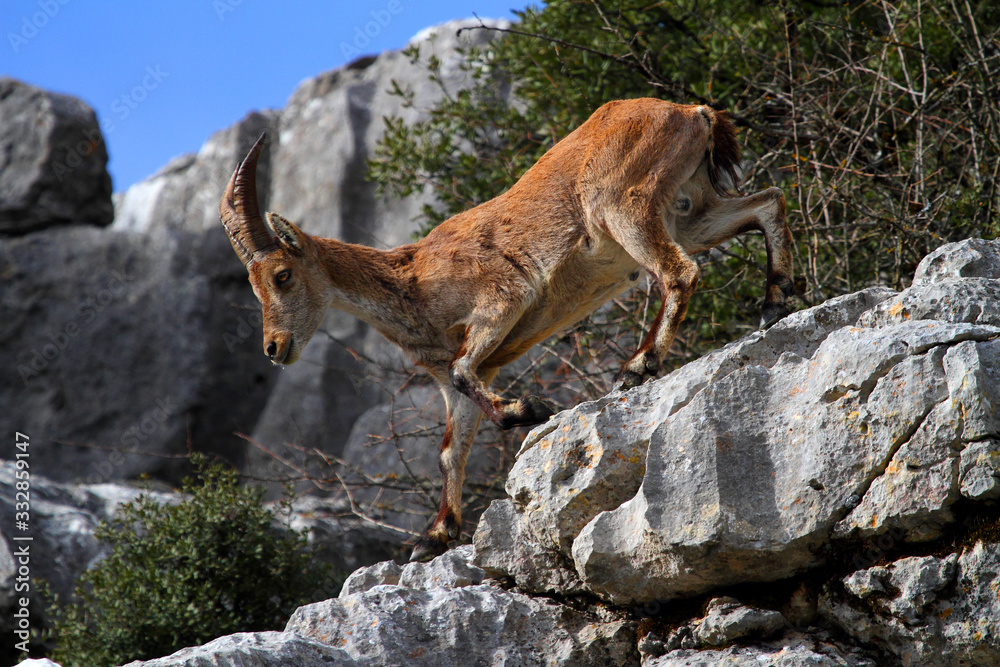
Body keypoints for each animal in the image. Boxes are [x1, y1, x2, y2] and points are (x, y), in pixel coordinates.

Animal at [219, 98, 794, 562]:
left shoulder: (502, 298)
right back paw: (774, 300)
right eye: (252, 286)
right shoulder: (461, 375)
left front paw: (528, 410)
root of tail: (692, 112)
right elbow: (451, 444)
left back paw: (637, 366)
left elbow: (464, 370)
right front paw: (433, 535)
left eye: (282, 275)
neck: (413, 282)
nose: (274, 347)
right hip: (689, 209)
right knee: (766, 202)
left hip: (625, 204)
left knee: (680, 272)